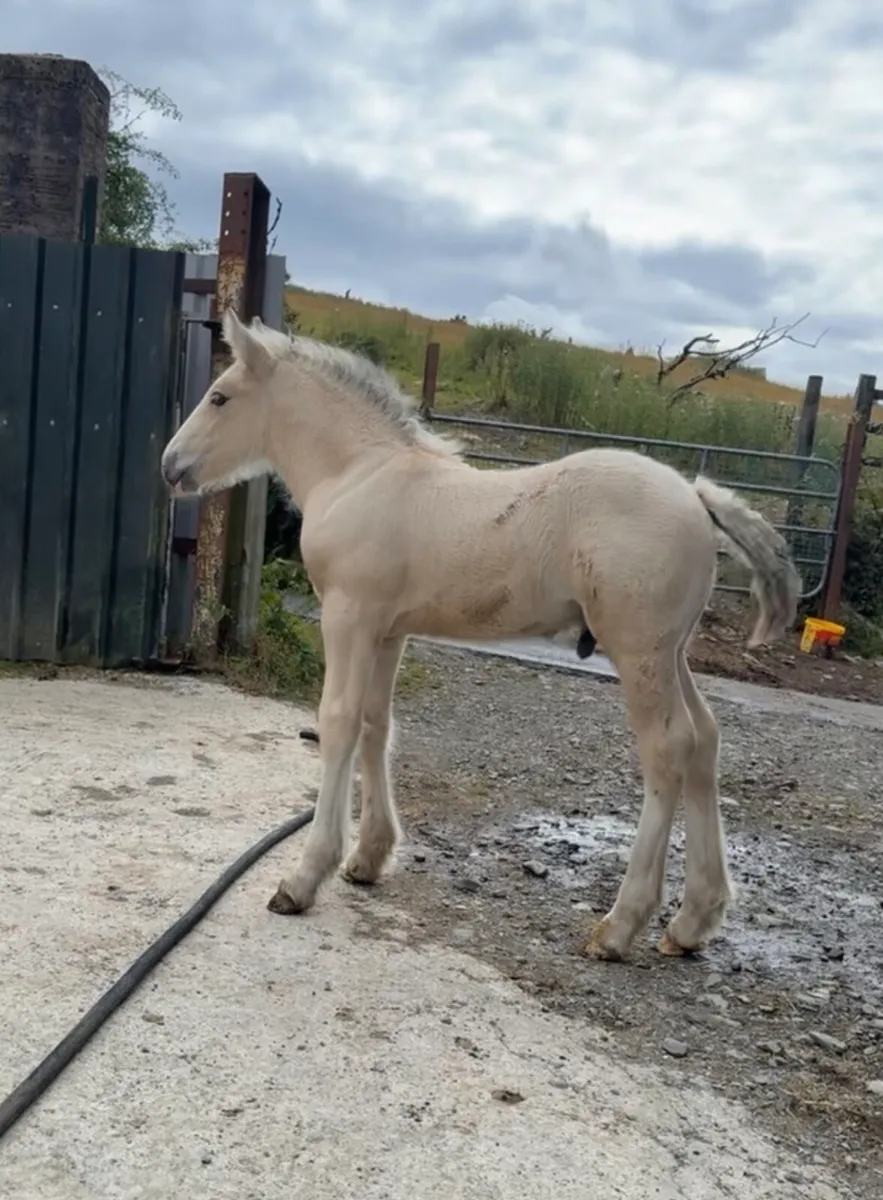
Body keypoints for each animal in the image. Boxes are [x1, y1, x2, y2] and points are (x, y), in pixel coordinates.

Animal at [161, 309, 800, 963]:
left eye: (219, 397)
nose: (169, 465)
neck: (358, 473)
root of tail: (697, 497)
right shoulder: (388, 631)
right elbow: (376, 725)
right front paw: (369, 857)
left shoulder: (348, 616)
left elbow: (337, 724)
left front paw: (303, 878)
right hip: (672, 653)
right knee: (705, 740)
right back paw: (693, 919)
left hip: (638, 650)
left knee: (669, 749)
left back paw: (621, 925)